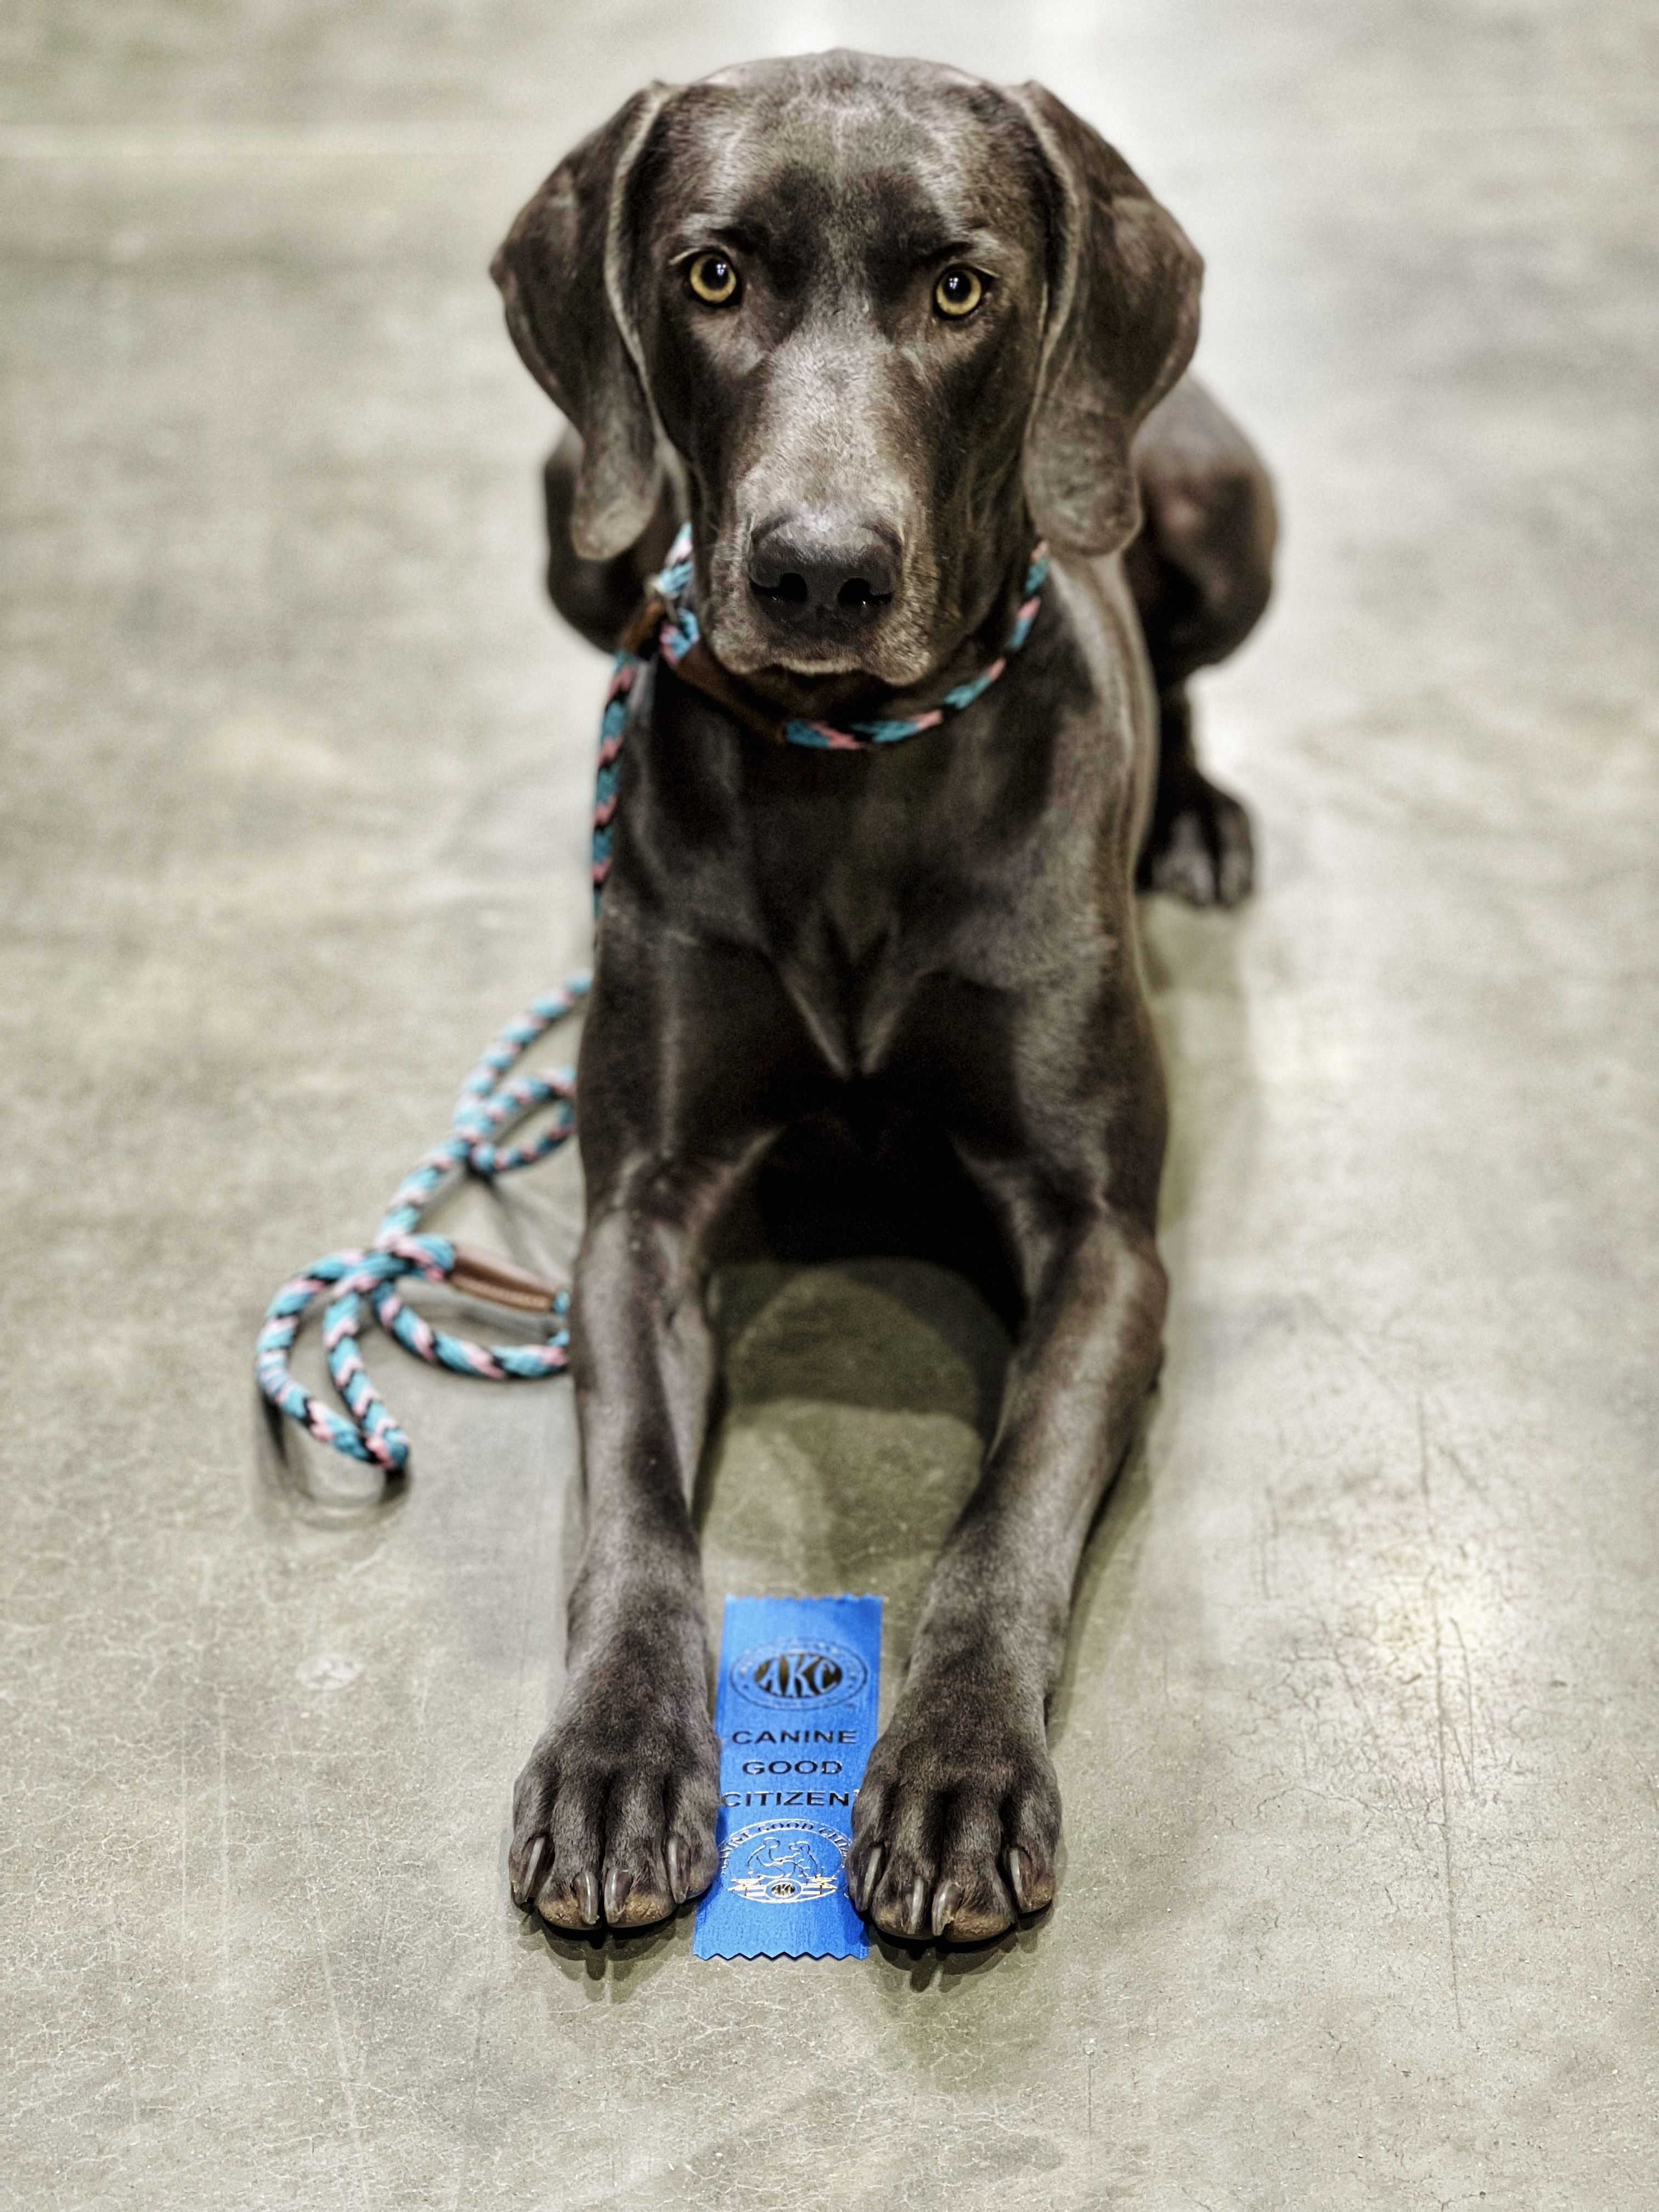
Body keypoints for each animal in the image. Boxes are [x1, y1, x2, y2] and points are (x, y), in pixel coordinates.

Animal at [493, 51, 1275, 1946]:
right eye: (711, 276)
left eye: (961, 288)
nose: (820, 573)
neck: (853, 774)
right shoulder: (636, 1217)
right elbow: (631, 1508)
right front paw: (615, 1758)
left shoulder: (1103, 1242)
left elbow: (1006, 1515)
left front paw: (959, 1774)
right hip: (569, 502)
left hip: (1215, 508)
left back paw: (1200, 819)